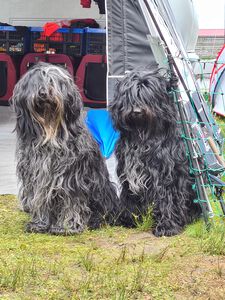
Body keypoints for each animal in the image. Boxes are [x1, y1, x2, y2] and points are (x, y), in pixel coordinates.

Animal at [11, 61, 118, 234]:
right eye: (37, 83)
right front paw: (39, 224)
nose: (43, 93)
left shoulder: (71, 177)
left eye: (52, 82)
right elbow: (40, 200)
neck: (50, 134)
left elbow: (71, 202)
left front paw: (67, 226)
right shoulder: (37, 177)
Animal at [109, 67, 200, 236]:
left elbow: (167, 199)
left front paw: (167, 226)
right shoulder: (128, 175)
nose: (137, 111)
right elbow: (129, 197)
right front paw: (129, 220)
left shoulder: (165, 175)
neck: (143, 137)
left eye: (147, 96)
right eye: (130, 96)